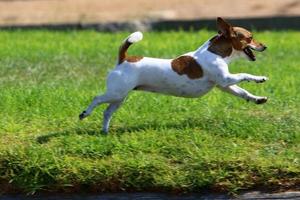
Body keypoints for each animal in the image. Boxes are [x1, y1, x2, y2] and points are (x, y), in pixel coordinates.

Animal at [78, 17, 268, 133]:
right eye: (250, 37)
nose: (265, 46)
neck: (216, 53)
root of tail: (124, 59)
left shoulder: (225, 85)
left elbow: (243, 92)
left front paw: (258, 99)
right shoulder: (226, 79)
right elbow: (245, 73)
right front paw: (260, 78)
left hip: (120, 97)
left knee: (107, 112)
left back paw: (105, 131)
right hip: (115, 93)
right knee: (96, 98)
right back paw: (85, 113)